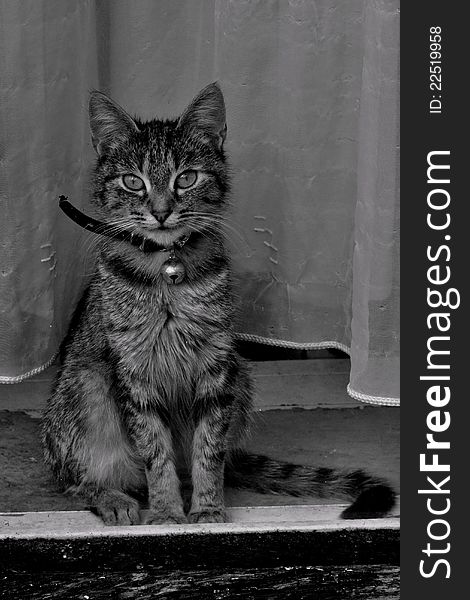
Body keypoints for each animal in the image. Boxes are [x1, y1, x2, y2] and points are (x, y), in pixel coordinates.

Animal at [40, 82, 394, 524]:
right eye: (133, 182)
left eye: (187, 178)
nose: (161, 211)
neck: (167, 271)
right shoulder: (133, 371)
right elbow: (154, 451)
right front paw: (166, 511)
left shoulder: (217, 366)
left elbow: (209, 447)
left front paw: (207, 507)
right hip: (84, 392)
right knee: (74, 479)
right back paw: (112, 497)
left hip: (241, 377)